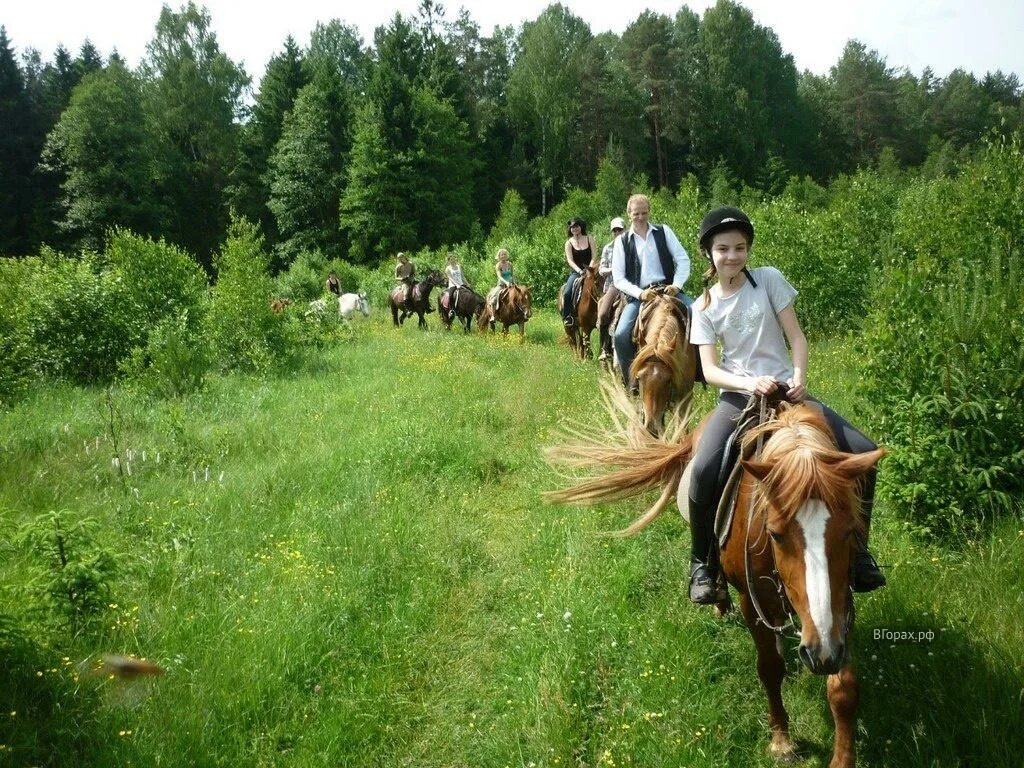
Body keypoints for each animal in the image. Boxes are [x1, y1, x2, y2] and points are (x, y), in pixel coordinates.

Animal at [548, 397, 884, 768]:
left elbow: (843, 687)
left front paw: (842, 758)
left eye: (850, 531)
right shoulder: (753, 602)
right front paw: (781, 741)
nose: (820, 652)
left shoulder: (840, 603)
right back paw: (712, 591)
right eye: (775, 534)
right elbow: (770, 668)